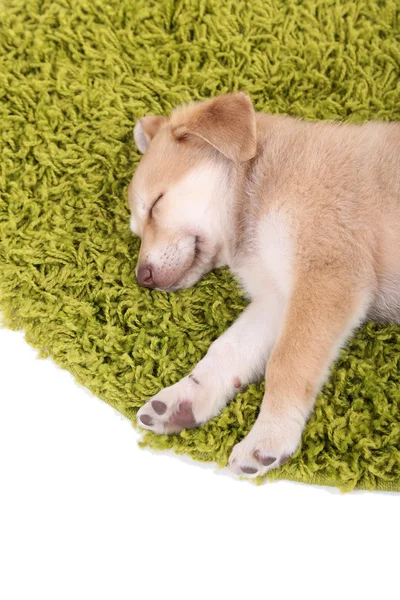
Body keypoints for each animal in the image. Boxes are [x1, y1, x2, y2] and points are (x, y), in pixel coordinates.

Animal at [128, 94, 400, 478]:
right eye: (137, 231)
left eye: (156, 205)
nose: (142, 278)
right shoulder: (277, 301)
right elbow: (228, 350)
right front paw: (187, 396)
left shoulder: (327, 277)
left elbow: (285, 362)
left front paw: (270, 434)